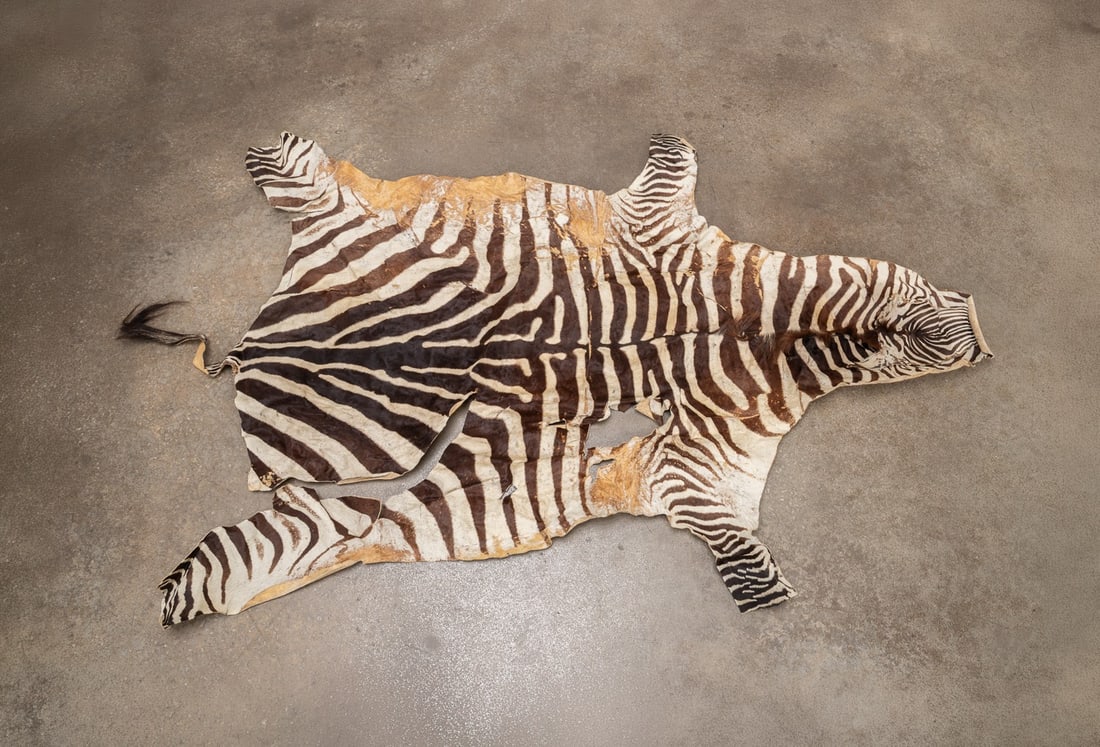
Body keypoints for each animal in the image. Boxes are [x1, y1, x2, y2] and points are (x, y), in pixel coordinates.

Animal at [120, 132, 993, 626]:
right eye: (923, 331)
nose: (982, 332)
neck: (767, 330)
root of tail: (256, 351)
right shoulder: (662, 236)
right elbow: (675, 157)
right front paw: (769, 596)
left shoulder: (692, 467)